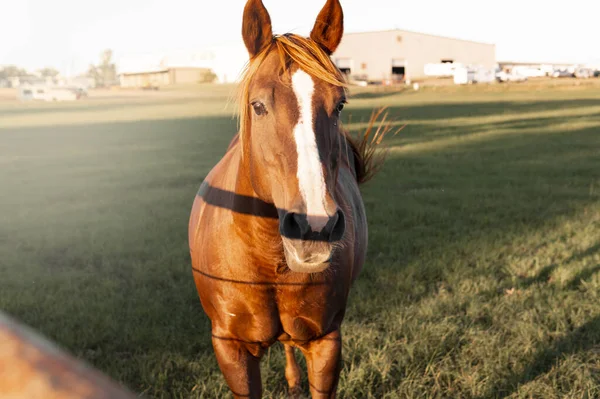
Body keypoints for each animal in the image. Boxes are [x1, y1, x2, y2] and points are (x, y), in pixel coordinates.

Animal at [190, 1, 392, 398]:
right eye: (258, 105)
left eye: (339, 105)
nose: (316, 226)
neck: (265, 260)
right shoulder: (230, 350)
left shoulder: (326, 342)